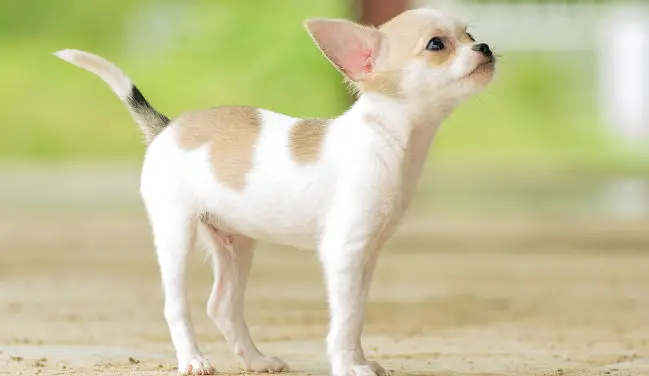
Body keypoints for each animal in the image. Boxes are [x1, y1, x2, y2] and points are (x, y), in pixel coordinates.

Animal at [54, 6, 492, 376]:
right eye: (436, 45)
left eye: (469, 34)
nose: (484, 47)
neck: (388, 137)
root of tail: (167, 127)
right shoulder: (344, 253)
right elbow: (345, 319)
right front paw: (348, 365)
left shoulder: (366, 255)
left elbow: (357, 314)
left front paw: (360, 359)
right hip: (176, 233)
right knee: (176, 306)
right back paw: (193, 359)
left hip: (234, 244)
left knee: (222, 306)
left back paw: (255, 359)